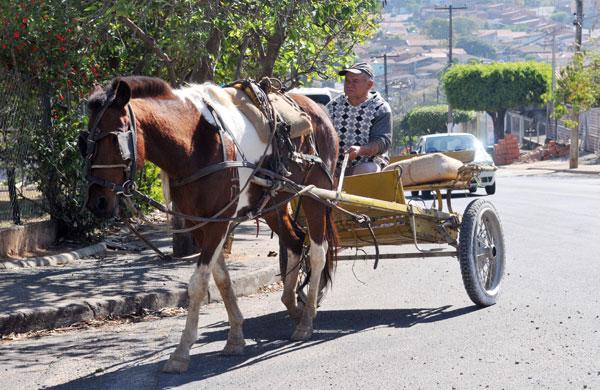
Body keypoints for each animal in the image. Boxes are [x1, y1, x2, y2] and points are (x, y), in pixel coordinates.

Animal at [82, 75, 340, 372]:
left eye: (114, 140)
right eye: (84, 141)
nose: (97, 201)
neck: (194, 145)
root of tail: (318, 110)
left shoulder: (218, 221)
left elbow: (198, 283)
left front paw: (181, 352)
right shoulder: (200, 224)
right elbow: (221, 279)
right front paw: (236, 337)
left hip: (314, 194)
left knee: (318, 252)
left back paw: (307, 320)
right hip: (275, 202)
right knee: (296, 243)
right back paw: (293, 306)